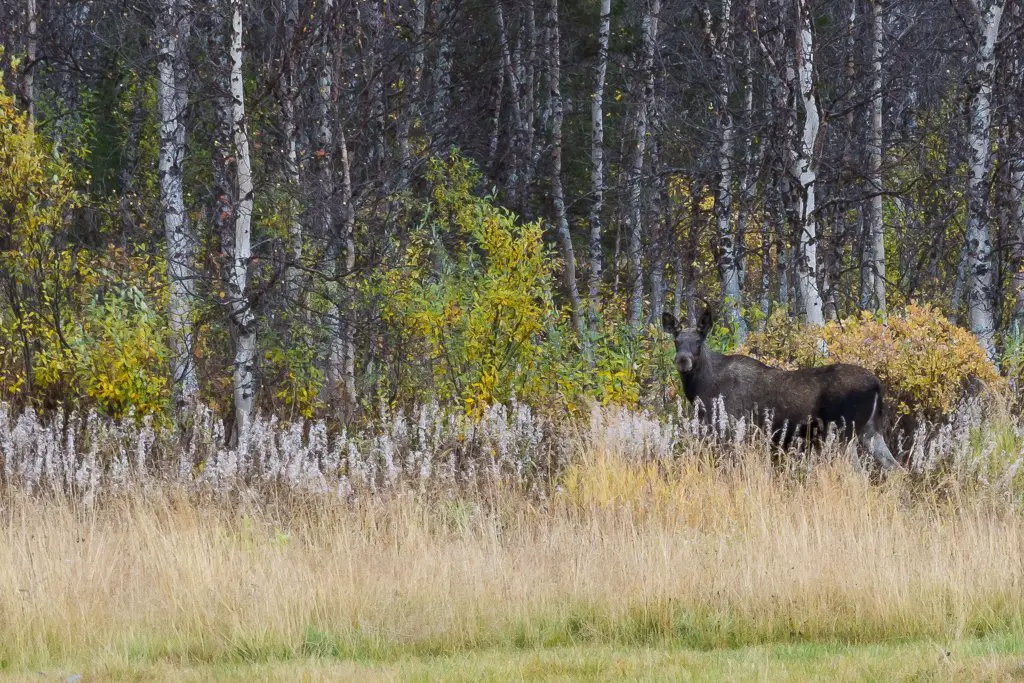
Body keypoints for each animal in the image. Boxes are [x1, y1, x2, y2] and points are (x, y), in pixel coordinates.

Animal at [663, 305, 897, 471]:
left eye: (698, 341)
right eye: (676, 341)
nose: (682, 360)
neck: (702, 391)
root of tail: (878, 385)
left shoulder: (732, 428)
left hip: (843, 433)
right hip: (870, 431)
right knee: (895, 468)